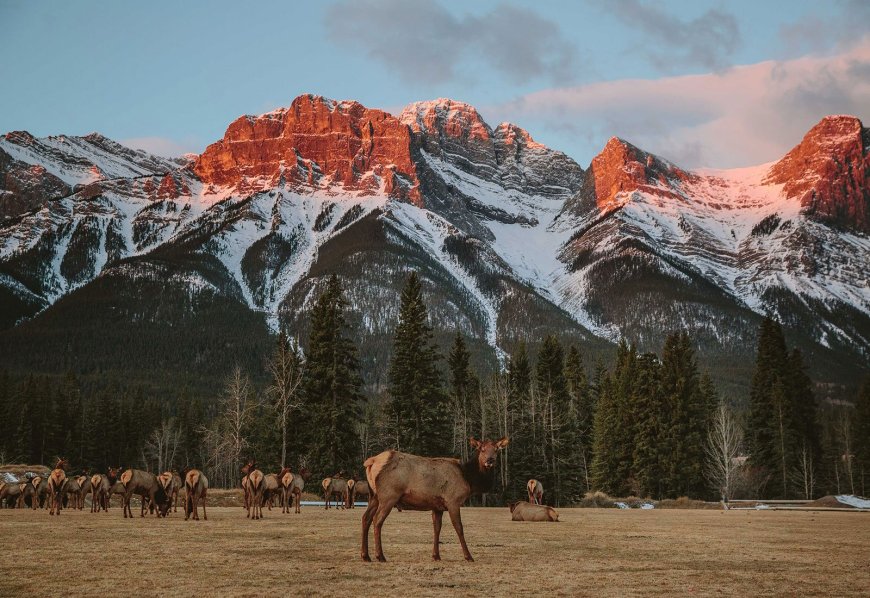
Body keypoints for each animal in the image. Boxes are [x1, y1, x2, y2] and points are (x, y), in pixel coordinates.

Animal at [362, 438, 510, 564]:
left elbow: (437, 528)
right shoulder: (453, 500)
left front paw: (436, 556)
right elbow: (459, 527)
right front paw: (468, 556)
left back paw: (366, 556)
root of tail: (372, 461)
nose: (490, 460)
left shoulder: (437, 507)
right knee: (377, 519)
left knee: (366, 517)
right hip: (389, 495)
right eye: (482, 449)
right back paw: (380, 556)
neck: (469, 479)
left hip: (373, 496)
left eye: (496, 449)